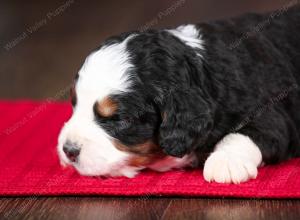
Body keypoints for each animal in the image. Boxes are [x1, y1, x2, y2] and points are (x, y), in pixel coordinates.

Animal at [56, 6, 300, 183]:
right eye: (74, 104)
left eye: (118, 119)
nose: (68, 150)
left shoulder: (270, 112)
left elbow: (245, 133)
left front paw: (226, 162)